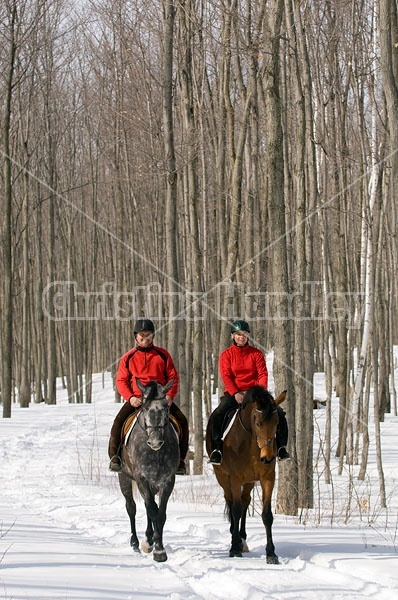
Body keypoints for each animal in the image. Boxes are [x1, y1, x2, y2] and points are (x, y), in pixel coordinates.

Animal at [118, 380, 179, 564]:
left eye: (165, 408)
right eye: (145, 408)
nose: (155, 441)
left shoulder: (167, 480)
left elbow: (160, 514)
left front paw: (157, 547)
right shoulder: (141, 479)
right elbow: (152, 510)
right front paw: (158, 550)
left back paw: (148, 539)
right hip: (124, 478)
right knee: (131, 507)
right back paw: (135, 543)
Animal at [205, 384, 286, 564]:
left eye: (277, 423)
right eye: (258, 423)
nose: (268, 457)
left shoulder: (267, 478)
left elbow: (267, 515)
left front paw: (271, 553)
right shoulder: (234, 478)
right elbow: (235, 510)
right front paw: (234, 548)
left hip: (249, 481)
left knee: (245, 501)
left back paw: (242, 538)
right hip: (222, 477)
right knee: (231, 501)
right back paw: (235, 538)